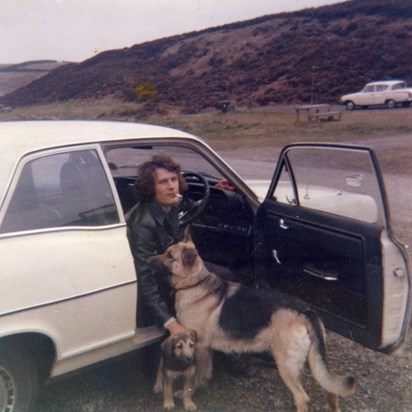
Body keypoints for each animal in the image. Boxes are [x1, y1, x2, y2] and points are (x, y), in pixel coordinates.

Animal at [150, 232, 356, 412]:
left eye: (170, 256)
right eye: (166, 251)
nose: (147, 260)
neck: (194, 283)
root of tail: (306, 311)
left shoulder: (199, 348)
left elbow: (193, 377)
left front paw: (189, 394)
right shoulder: (204, 350)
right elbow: (204, 373)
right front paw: (201, 387)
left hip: (286, 364)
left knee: (303, 398)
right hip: (311, 360)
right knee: (331, 389)